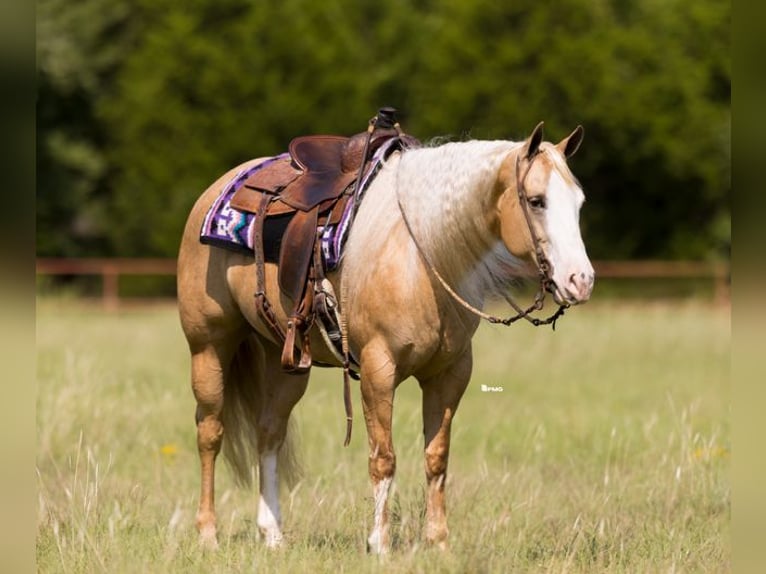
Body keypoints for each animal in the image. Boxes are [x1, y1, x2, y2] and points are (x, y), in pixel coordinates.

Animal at [177, 121, 594, 553]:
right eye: (536, 201)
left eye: (578, 202)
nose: (581, 280)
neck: (420, 256)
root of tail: (220, 186)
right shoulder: (379, 370)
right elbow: (383, 457)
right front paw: (380, 544)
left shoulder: (450, 374)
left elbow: (436, 457)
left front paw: (438, 542)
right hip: (208, 346)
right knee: (210, 431)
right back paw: (207, 534)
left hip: (286, 361)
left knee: (269, 433)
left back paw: (272, 535)